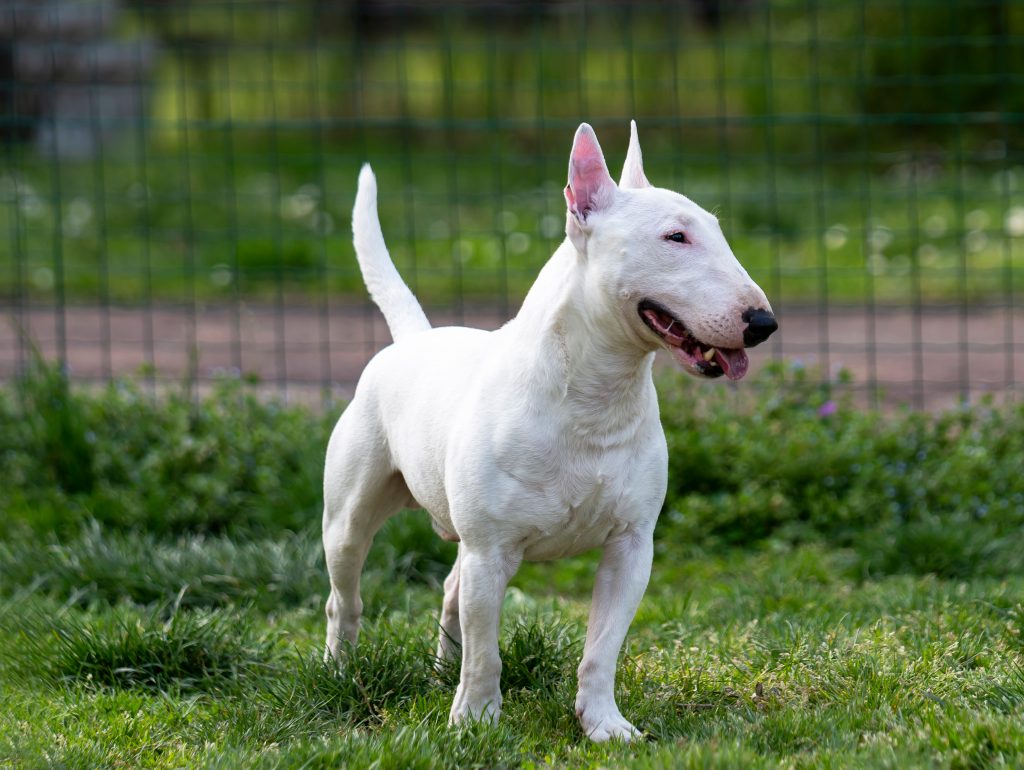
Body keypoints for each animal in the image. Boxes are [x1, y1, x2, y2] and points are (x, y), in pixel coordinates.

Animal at [323, 120, 778, 741]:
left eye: (716, 231)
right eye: (675, 237)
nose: (763, 323)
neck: (593, 398)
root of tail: (412, 338)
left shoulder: (631, 547)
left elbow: (602, 649)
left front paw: (605, 725)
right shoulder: (491, 550)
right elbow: (487, 652)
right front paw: (476, 722)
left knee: (449, 591)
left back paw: (442, 674)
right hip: (350, 516)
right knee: (344, 597)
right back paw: (341, 671)